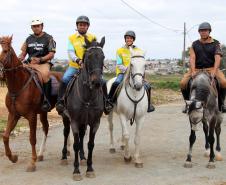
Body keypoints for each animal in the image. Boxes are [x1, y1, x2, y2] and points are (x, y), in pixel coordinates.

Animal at [0, 36, 69, 172]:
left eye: (5, 51)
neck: (18, 85)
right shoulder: (14, 115)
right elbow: (5, 136)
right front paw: (13, 157)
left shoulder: (31, 116)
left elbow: (32, 138)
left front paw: (32, 162)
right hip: (43, 113)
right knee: (46, 128)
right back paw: (41, 154)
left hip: (62, 110)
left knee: (67, 127)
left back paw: (68, 151)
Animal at [61, 36, 105, 180]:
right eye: (88, 57)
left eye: (103, 57)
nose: (96, 82)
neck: (88, 97)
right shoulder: (74, 121)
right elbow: (75, 144)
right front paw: (76, 171)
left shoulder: (95, 122)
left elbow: (90, 144)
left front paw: (90, 169)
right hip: (66, 118)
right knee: (66, 133)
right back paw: (64, 157)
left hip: (83, 122)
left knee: (81, 135)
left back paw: (83, 157)